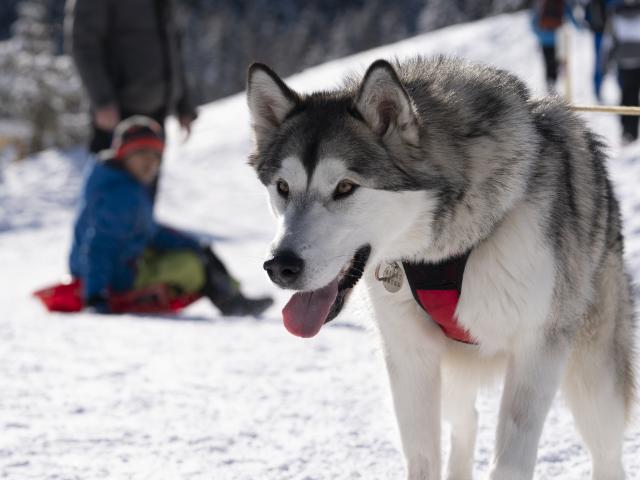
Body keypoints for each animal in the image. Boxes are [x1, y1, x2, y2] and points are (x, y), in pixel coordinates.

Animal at [244, 57, 636, 480]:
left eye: (345, 187)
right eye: (283, 187)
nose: (279, 266)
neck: (442, 249)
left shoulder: (537, 348)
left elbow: (510, 461)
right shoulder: (410, 355)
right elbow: (422, 457)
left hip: (594, 380)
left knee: (607, 451)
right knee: (466, 422)